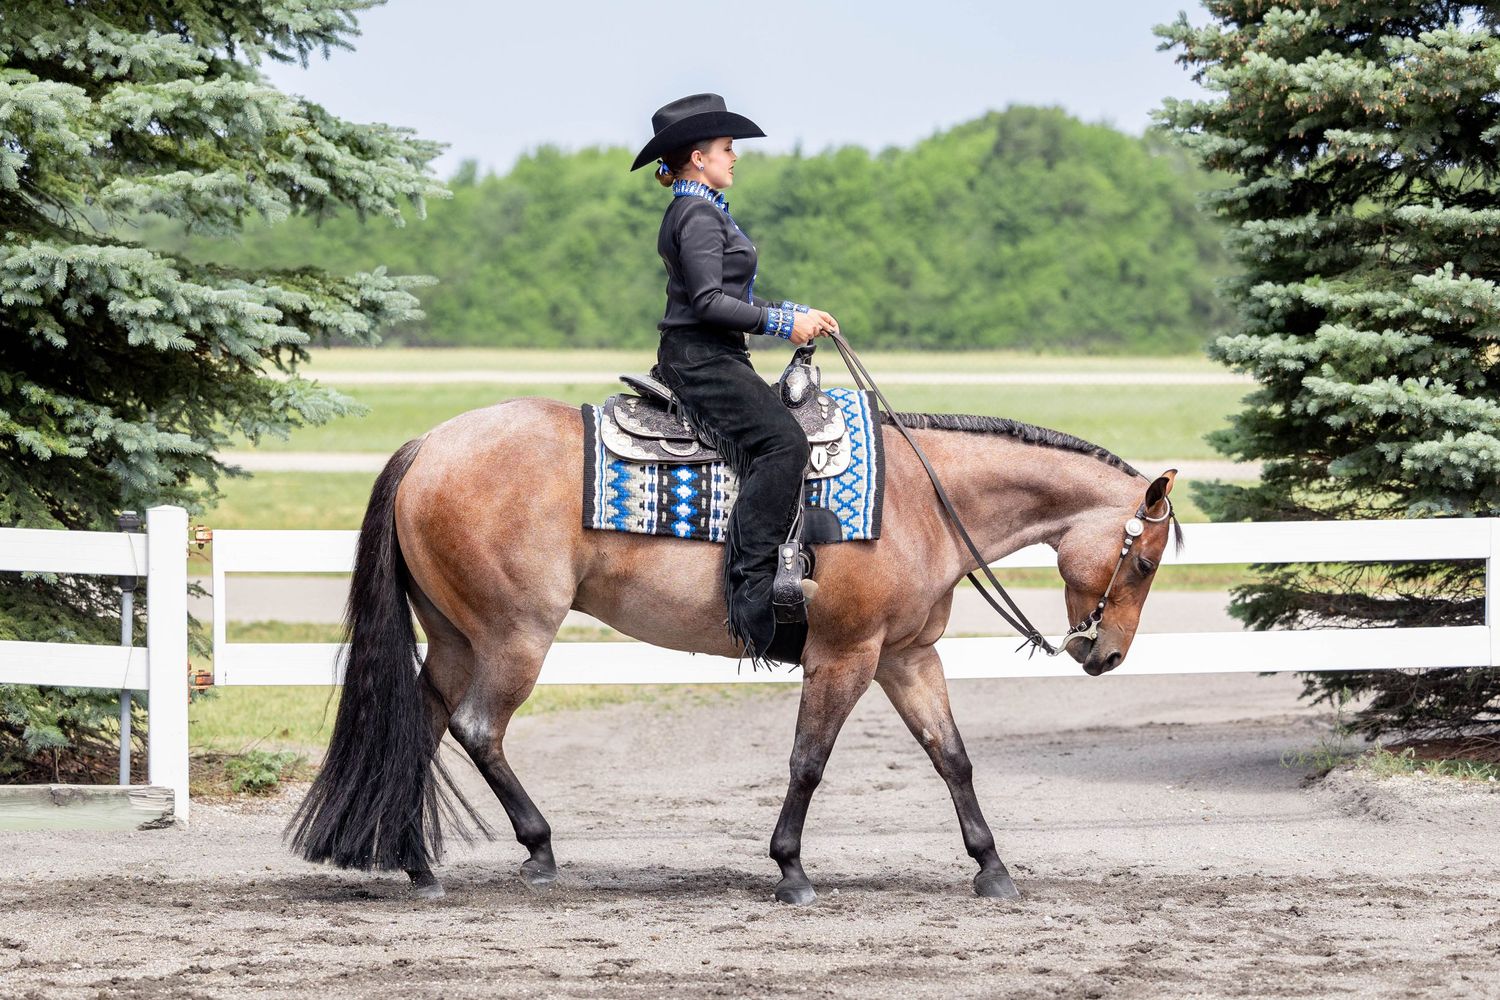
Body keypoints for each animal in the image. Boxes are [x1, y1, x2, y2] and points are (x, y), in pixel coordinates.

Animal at [288, 395, 1181, 905]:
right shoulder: (844, 656)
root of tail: (427, 446)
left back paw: (416, 863)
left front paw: (992, 869)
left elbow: (951, 757)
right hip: (515, 635)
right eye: (1143, 561)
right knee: (478, 730)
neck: (923, 501)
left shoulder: (907, 657)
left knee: (422, 727)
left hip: (454, 638)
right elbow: (808, 762)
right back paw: (535, 850)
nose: (1106, 655)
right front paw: (791, 871)